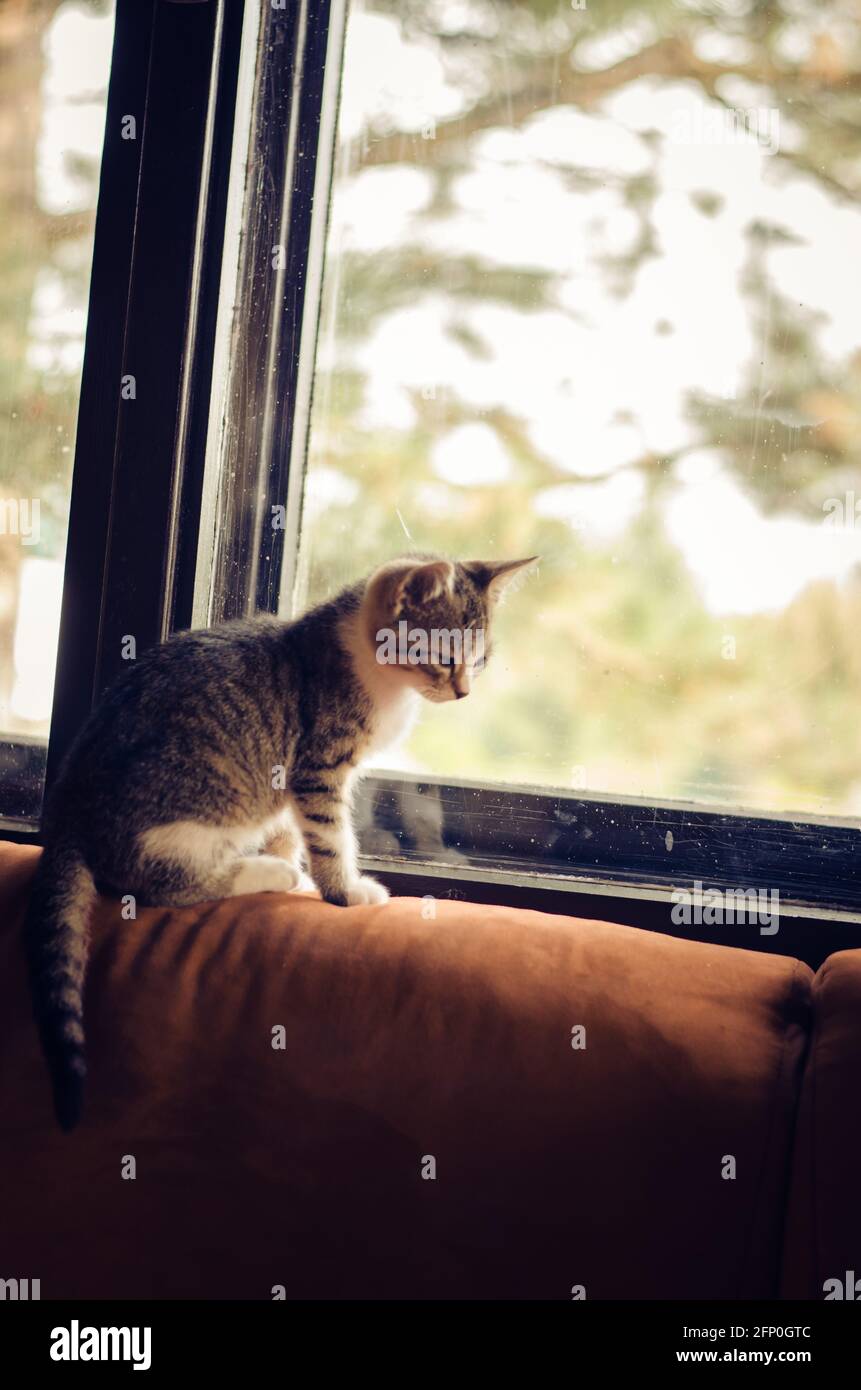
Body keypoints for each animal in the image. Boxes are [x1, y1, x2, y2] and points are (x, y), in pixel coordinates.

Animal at [25, 553, 531, 1128]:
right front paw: (343, 890)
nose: (464, 691)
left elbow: (290, 826)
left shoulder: (288, 781)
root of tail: (67, 809)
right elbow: (329, 834)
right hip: (184, 816)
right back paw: (270, 874)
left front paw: (299, 866)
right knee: (165, 884)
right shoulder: (319, 766)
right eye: (445, 657)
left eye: (481, 660)